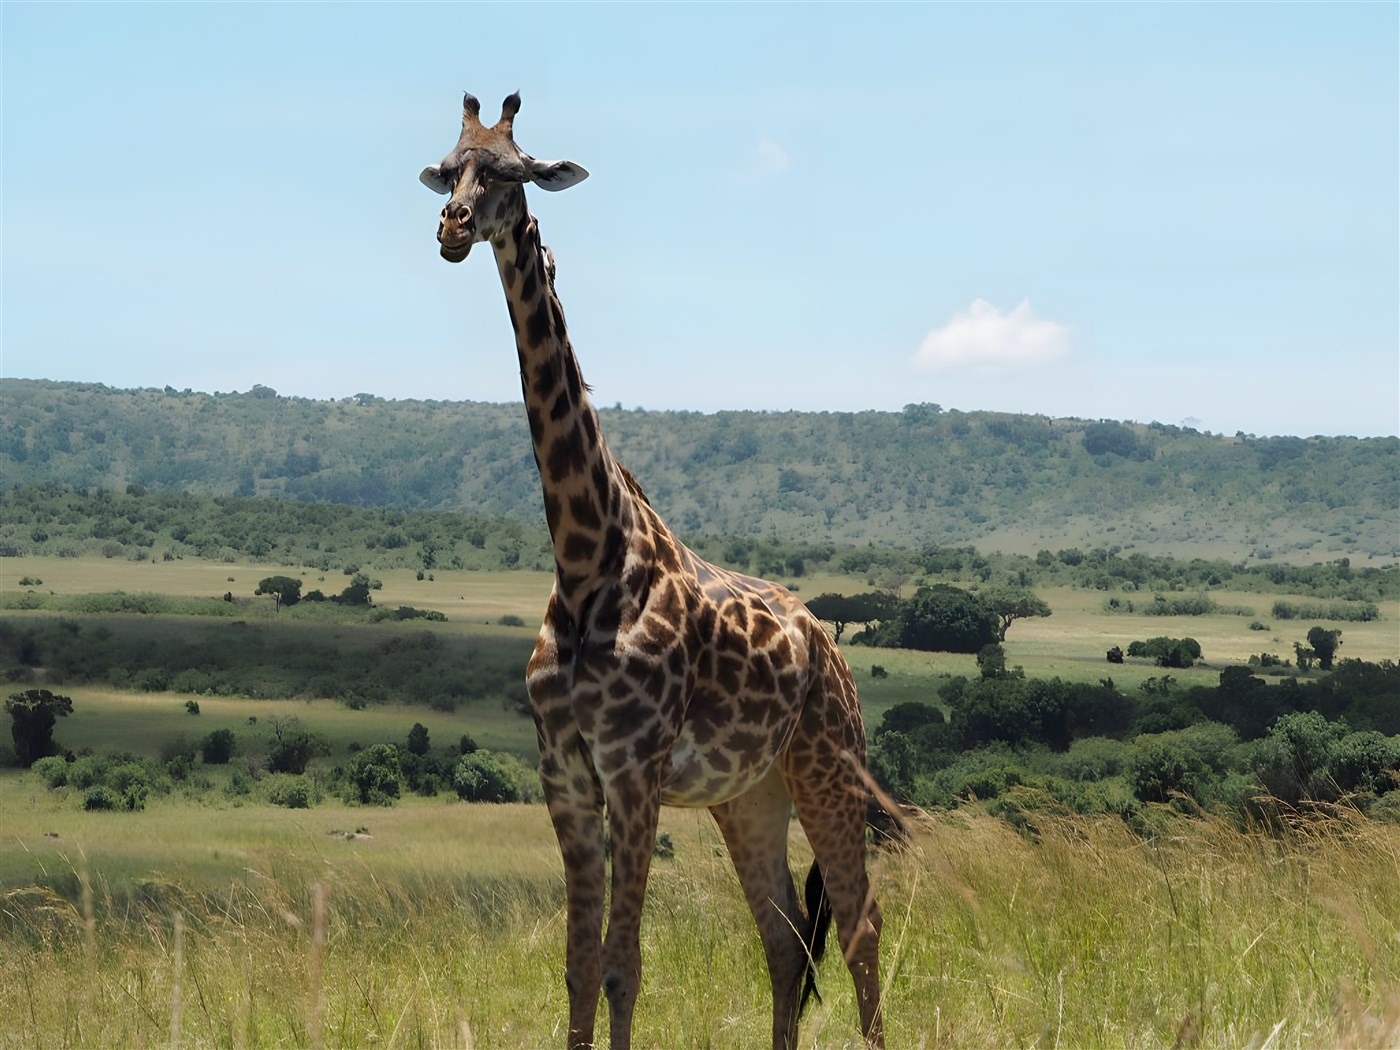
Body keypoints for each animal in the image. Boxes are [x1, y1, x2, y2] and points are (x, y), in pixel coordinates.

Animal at [420, 92, 884, 1050]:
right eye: (447, 169)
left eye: (513, 172)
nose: (451, 228)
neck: (586, 558)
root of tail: (830, 648)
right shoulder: (567, 776)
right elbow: (576, 968)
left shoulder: (633, 771)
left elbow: (623, 967)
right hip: (750, 795)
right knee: (786, 939)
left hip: (829, 767)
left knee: (860, 929)